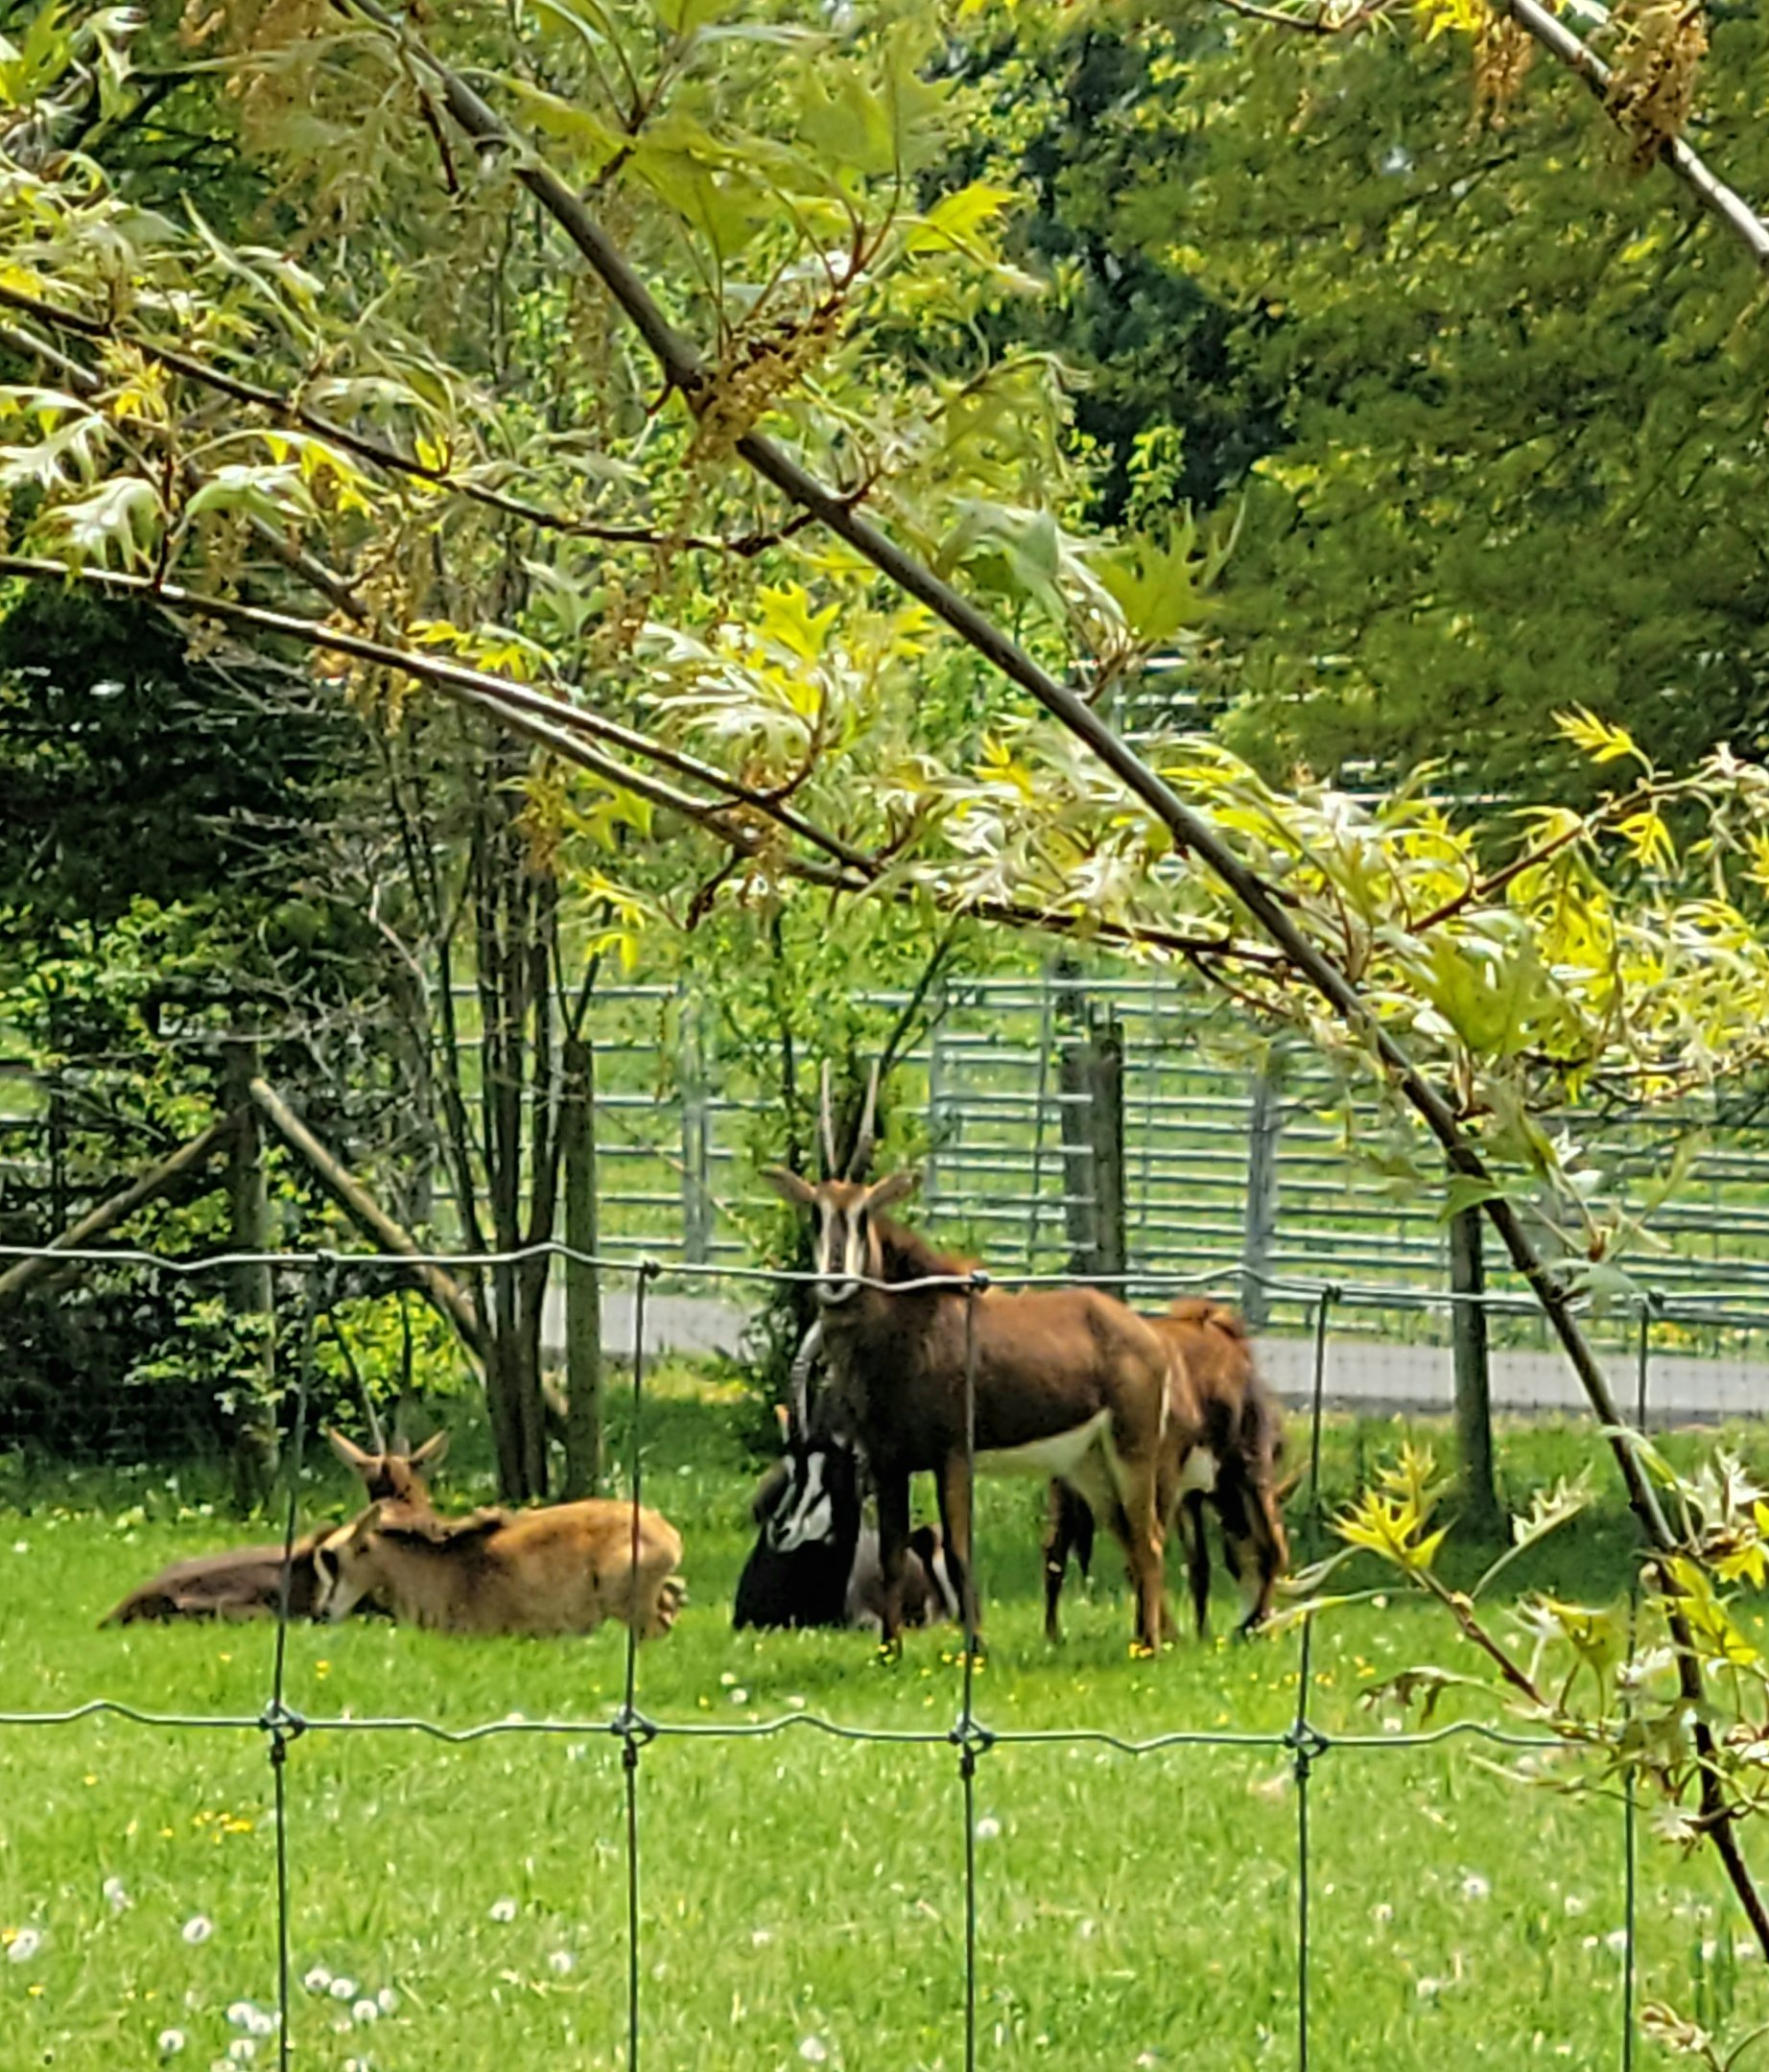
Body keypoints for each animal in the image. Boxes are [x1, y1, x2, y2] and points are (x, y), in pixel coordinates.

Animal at [764, 1066, 1172, 1654]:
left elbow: (959, 1553)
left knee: (1151, 1540)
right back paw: (1142, 1639)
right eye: (817, 1214)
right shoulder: (889, 1463)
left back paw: (1151, 1648)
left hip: (1131, 1452)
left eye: (863, 1213)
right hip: (1089, 1465)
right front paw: (889, 1653)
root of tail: (1147, 1336)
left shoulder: (953, 1456)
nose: (835, 1280)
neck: (907, 1326)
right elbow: (891, 1557)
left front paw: (975, 1648)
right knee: (1132, 1541)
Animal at [1042, 1298, 1290, 1642]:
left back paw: (1054, 1635)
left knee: (1057, 1549)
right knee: (1139, 1551)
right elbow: (1271, 1547)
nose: (1263, 1624)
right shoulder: (1247, 1464)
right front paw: (1239, 1625)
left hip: (1074, 1484)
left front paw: (1203, 1630)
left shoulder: (1191, 1494)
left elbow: (1199, 1563)